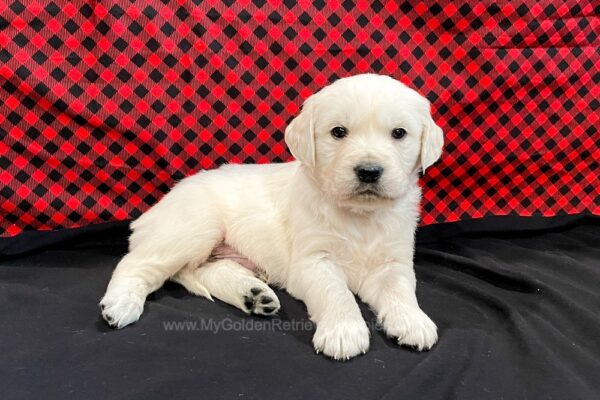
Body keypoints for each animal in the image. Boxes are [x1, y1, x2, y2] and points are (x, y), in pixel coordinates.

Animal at [101, 73, 442, 360]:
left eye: (399, 133)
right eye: (338, 132)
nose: (369, 171)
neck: (360, 216)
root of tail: (153, 211)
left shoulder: (393, 260)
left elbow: (400, 288)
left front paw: (413, 321)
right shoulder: (311, 262)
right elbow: (336, 292)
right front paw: (343, 331)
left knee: (207, 270)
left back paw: (252, 295)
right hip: (191, 228)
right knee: (135, 263)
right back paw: (120, 304)